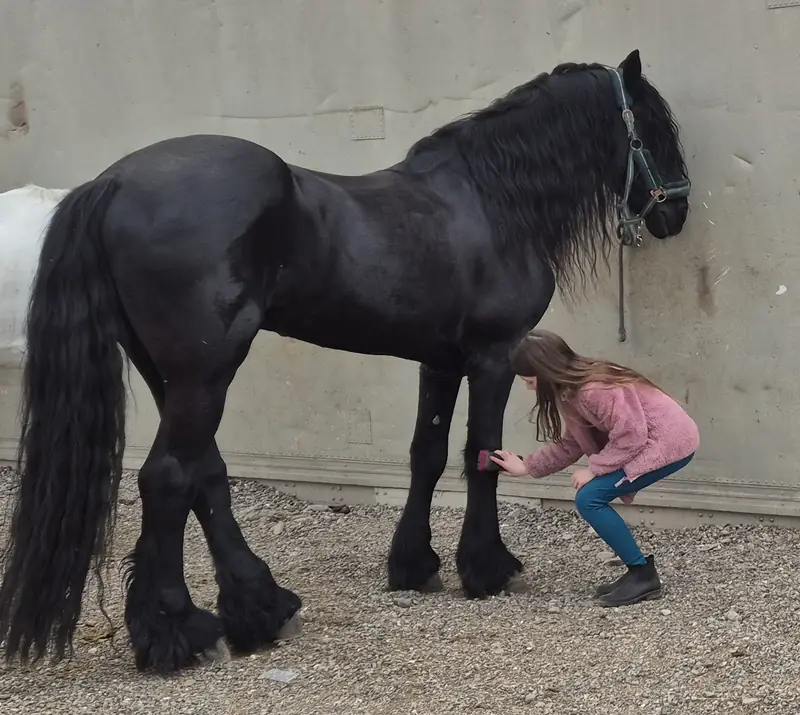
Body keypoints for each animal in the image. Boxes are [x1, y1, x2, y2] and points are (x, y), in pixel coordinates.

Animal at [0, 49, 691, 674]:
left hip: (170, 373)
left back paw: (260, 609)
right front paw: (486, 568)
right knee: (168, 478)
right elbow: (482, 455)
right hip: (205, 373)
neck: (488, 202)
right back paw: (177, 634)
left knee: (205, 474)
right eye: (656, 127)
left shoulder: (439, 361)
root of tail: (112, 184)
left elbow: (427, 454)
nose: (677, 210)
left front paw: (414, 565)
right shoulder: (492, 357)